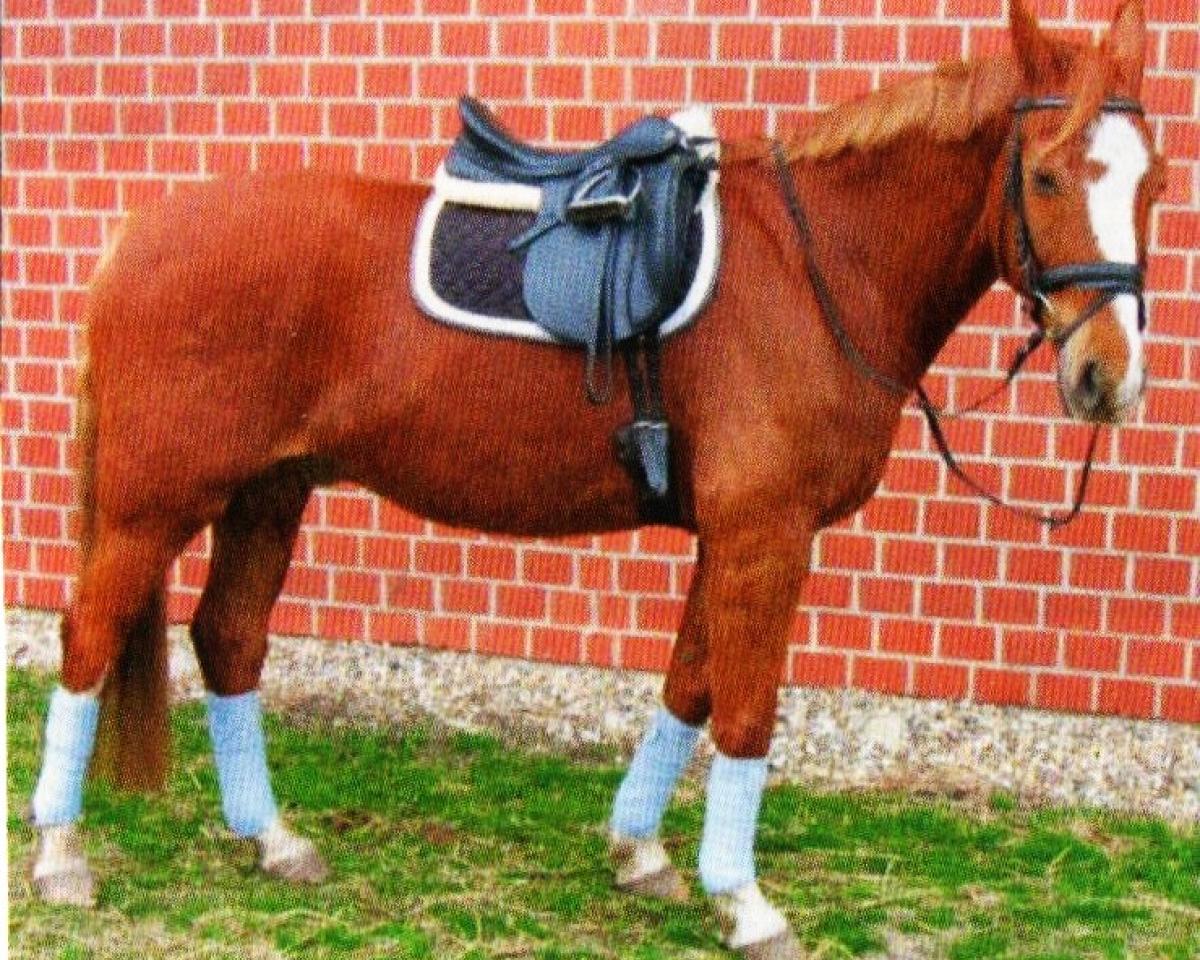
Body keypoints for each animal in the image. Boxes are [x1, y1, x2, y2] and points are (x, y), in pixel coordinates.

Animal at [29, 2, 1163, 956]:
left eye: (1152, 183)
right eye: (1048, 176)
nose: (1106, 380)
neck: (815, 268)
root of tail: (140, 233)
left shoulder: (734, 534)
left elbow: (689, 686)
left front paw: (643, 854)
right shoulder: (766, 533)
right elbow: (747, 712)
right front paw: (747, 903)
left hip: (271, 490)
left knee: (229, 639)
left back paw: (274, 838)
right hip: (153, 503)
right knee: (88, 639)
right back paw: (60, 856)